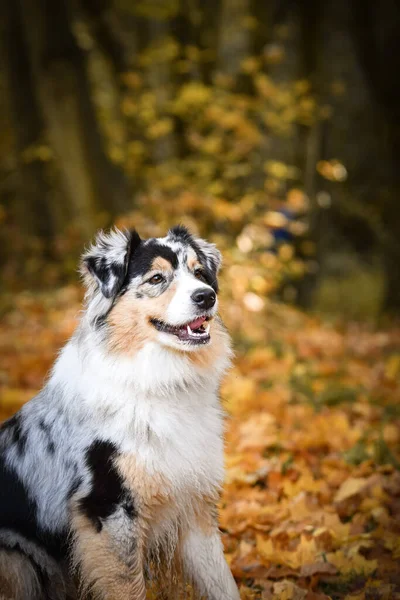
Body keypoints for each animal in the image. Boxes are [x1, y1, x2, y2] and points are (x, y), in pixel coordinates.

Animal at [0, 226, 241, 600]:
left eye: (200, 273)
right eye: (157, 278)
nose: (207, 297)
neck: (159, 383)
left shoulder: (194, 505)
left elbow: (223, 584)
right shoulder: (108, 511)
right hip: (15, 560)